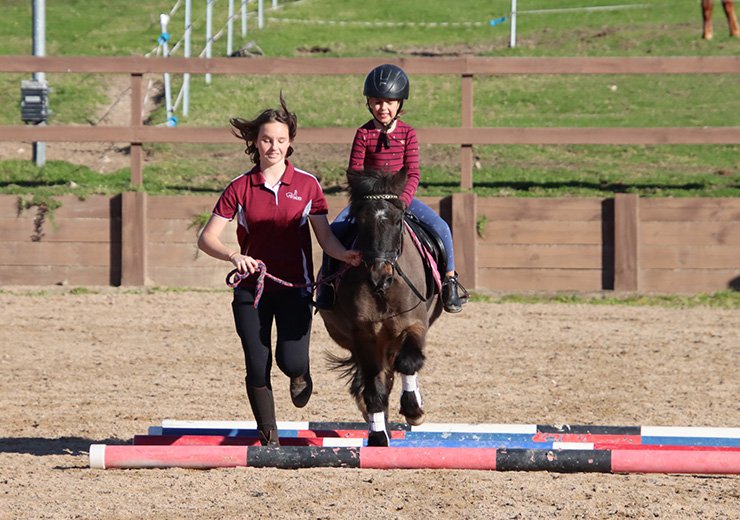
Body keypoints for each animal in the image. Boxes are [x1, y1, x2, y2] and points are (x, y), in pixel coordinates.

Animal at [318, 169, 443, 446]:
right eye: (360, 221)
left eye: (397, 221)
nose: (380, 277)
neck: (384, 291)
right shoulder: (364, 337)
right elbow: (375, 388)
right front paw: (377, 436)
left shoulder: (415, 324)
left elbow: (408, 363)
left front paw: (414, 410)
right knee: (377, 380)